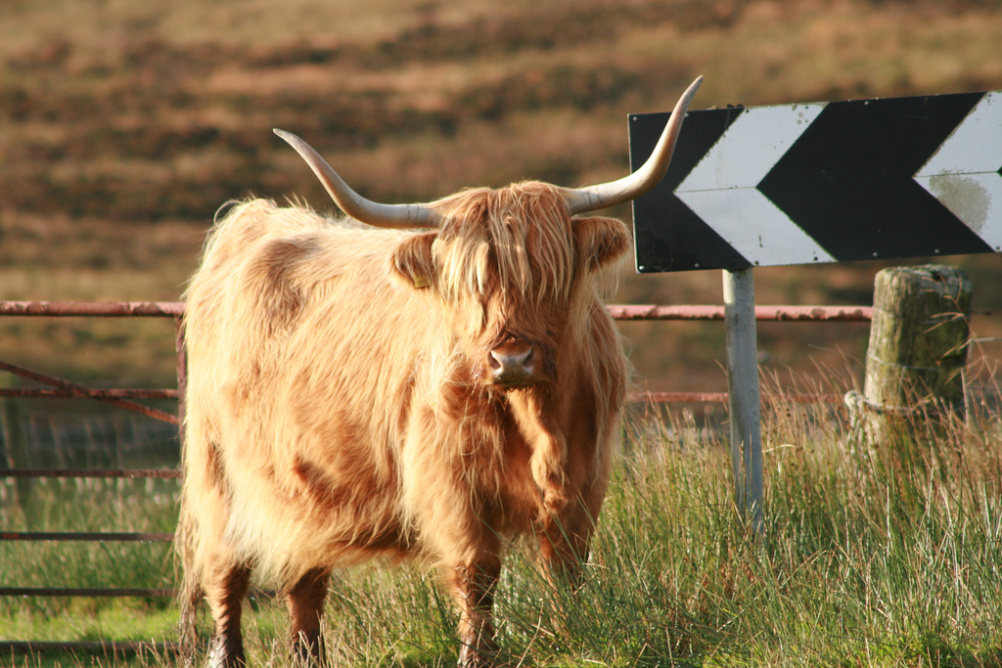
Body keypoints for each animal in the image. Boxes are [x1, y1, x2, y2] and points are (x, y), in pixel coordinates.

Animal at [176, 75, 701, 664]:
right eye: (470, 284)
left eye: (548, 275)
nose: (511, 359)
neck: (540, 425)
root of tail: (254, 218)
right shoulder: (452, 483)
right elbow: (477, 572)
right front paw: (477, 654)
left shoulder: (586, 479)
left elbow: (566, 570)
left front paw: (571, 638)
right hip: (217, 471)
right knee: (226, 573)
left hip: (303, 492)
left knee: (304, 583)